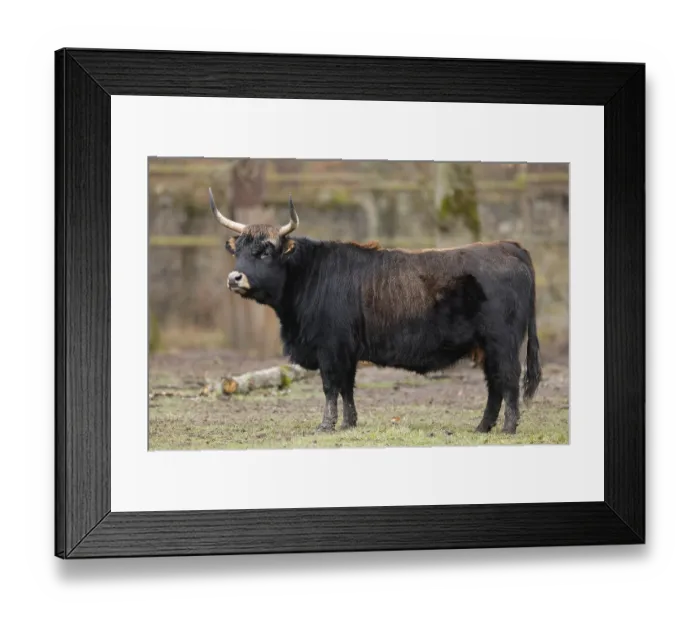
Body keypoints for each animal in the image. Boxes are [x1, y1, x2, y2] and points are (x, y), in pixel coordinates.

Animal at [209, 188, 542, 435]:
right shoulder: (347, 351)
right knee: (494, 384)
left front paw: (326, 425)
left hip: (502, 342)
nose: (234, 278)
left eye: (265, 252)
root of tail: (507, 246)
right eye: (238, 251)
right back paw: (482, 427)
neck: (308, 274)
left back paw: (508, 428)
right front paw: (348, 423)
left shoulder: (330, 348)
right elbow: (347, 387)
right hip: (486, 346)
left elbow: (331, 386)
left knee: (508, 379)